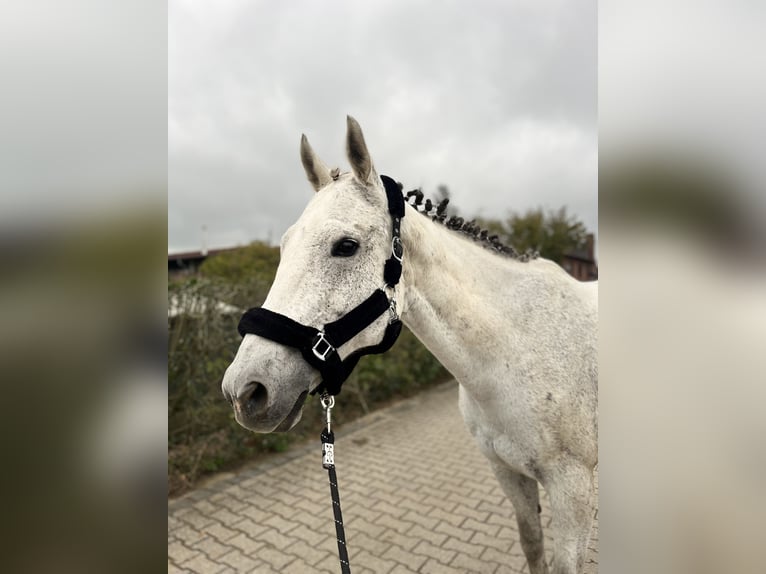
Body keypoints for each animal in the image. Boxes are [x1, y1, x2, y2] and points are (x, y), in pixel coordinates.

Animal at [221, 116, 598, 574]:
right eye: (284, 246)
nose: (244, 391)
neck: (517, 353)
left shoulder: (573, 493)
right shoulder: (508, 473)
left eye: (346, 246)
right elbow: (532, 544)